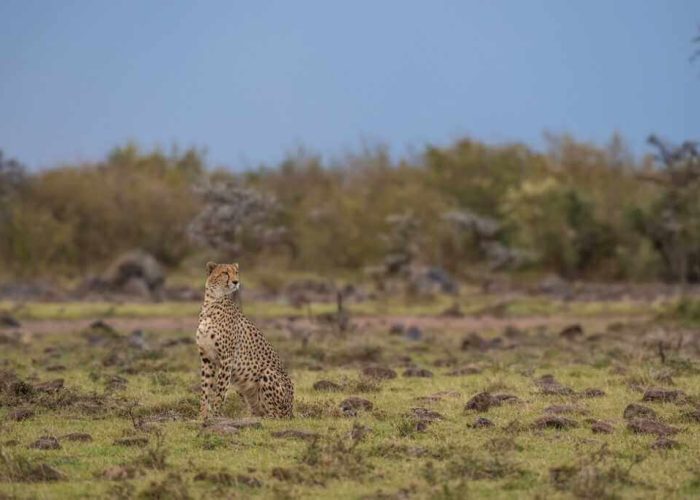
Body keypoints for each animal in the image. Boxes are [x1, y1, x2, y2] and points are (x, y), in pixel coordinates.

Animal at [196, 262, 294, 418]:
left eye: (236, 272)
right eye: (225, 273)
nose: (236, 282)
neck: (212, 301)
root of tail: (291, 409)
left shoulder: (226, 358)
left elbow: (220, 391)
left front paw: (214, 416)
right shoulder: (206, 358)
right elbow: (205, 389)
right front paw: (202, 416)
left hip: (267, 373)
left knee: (277, 415)